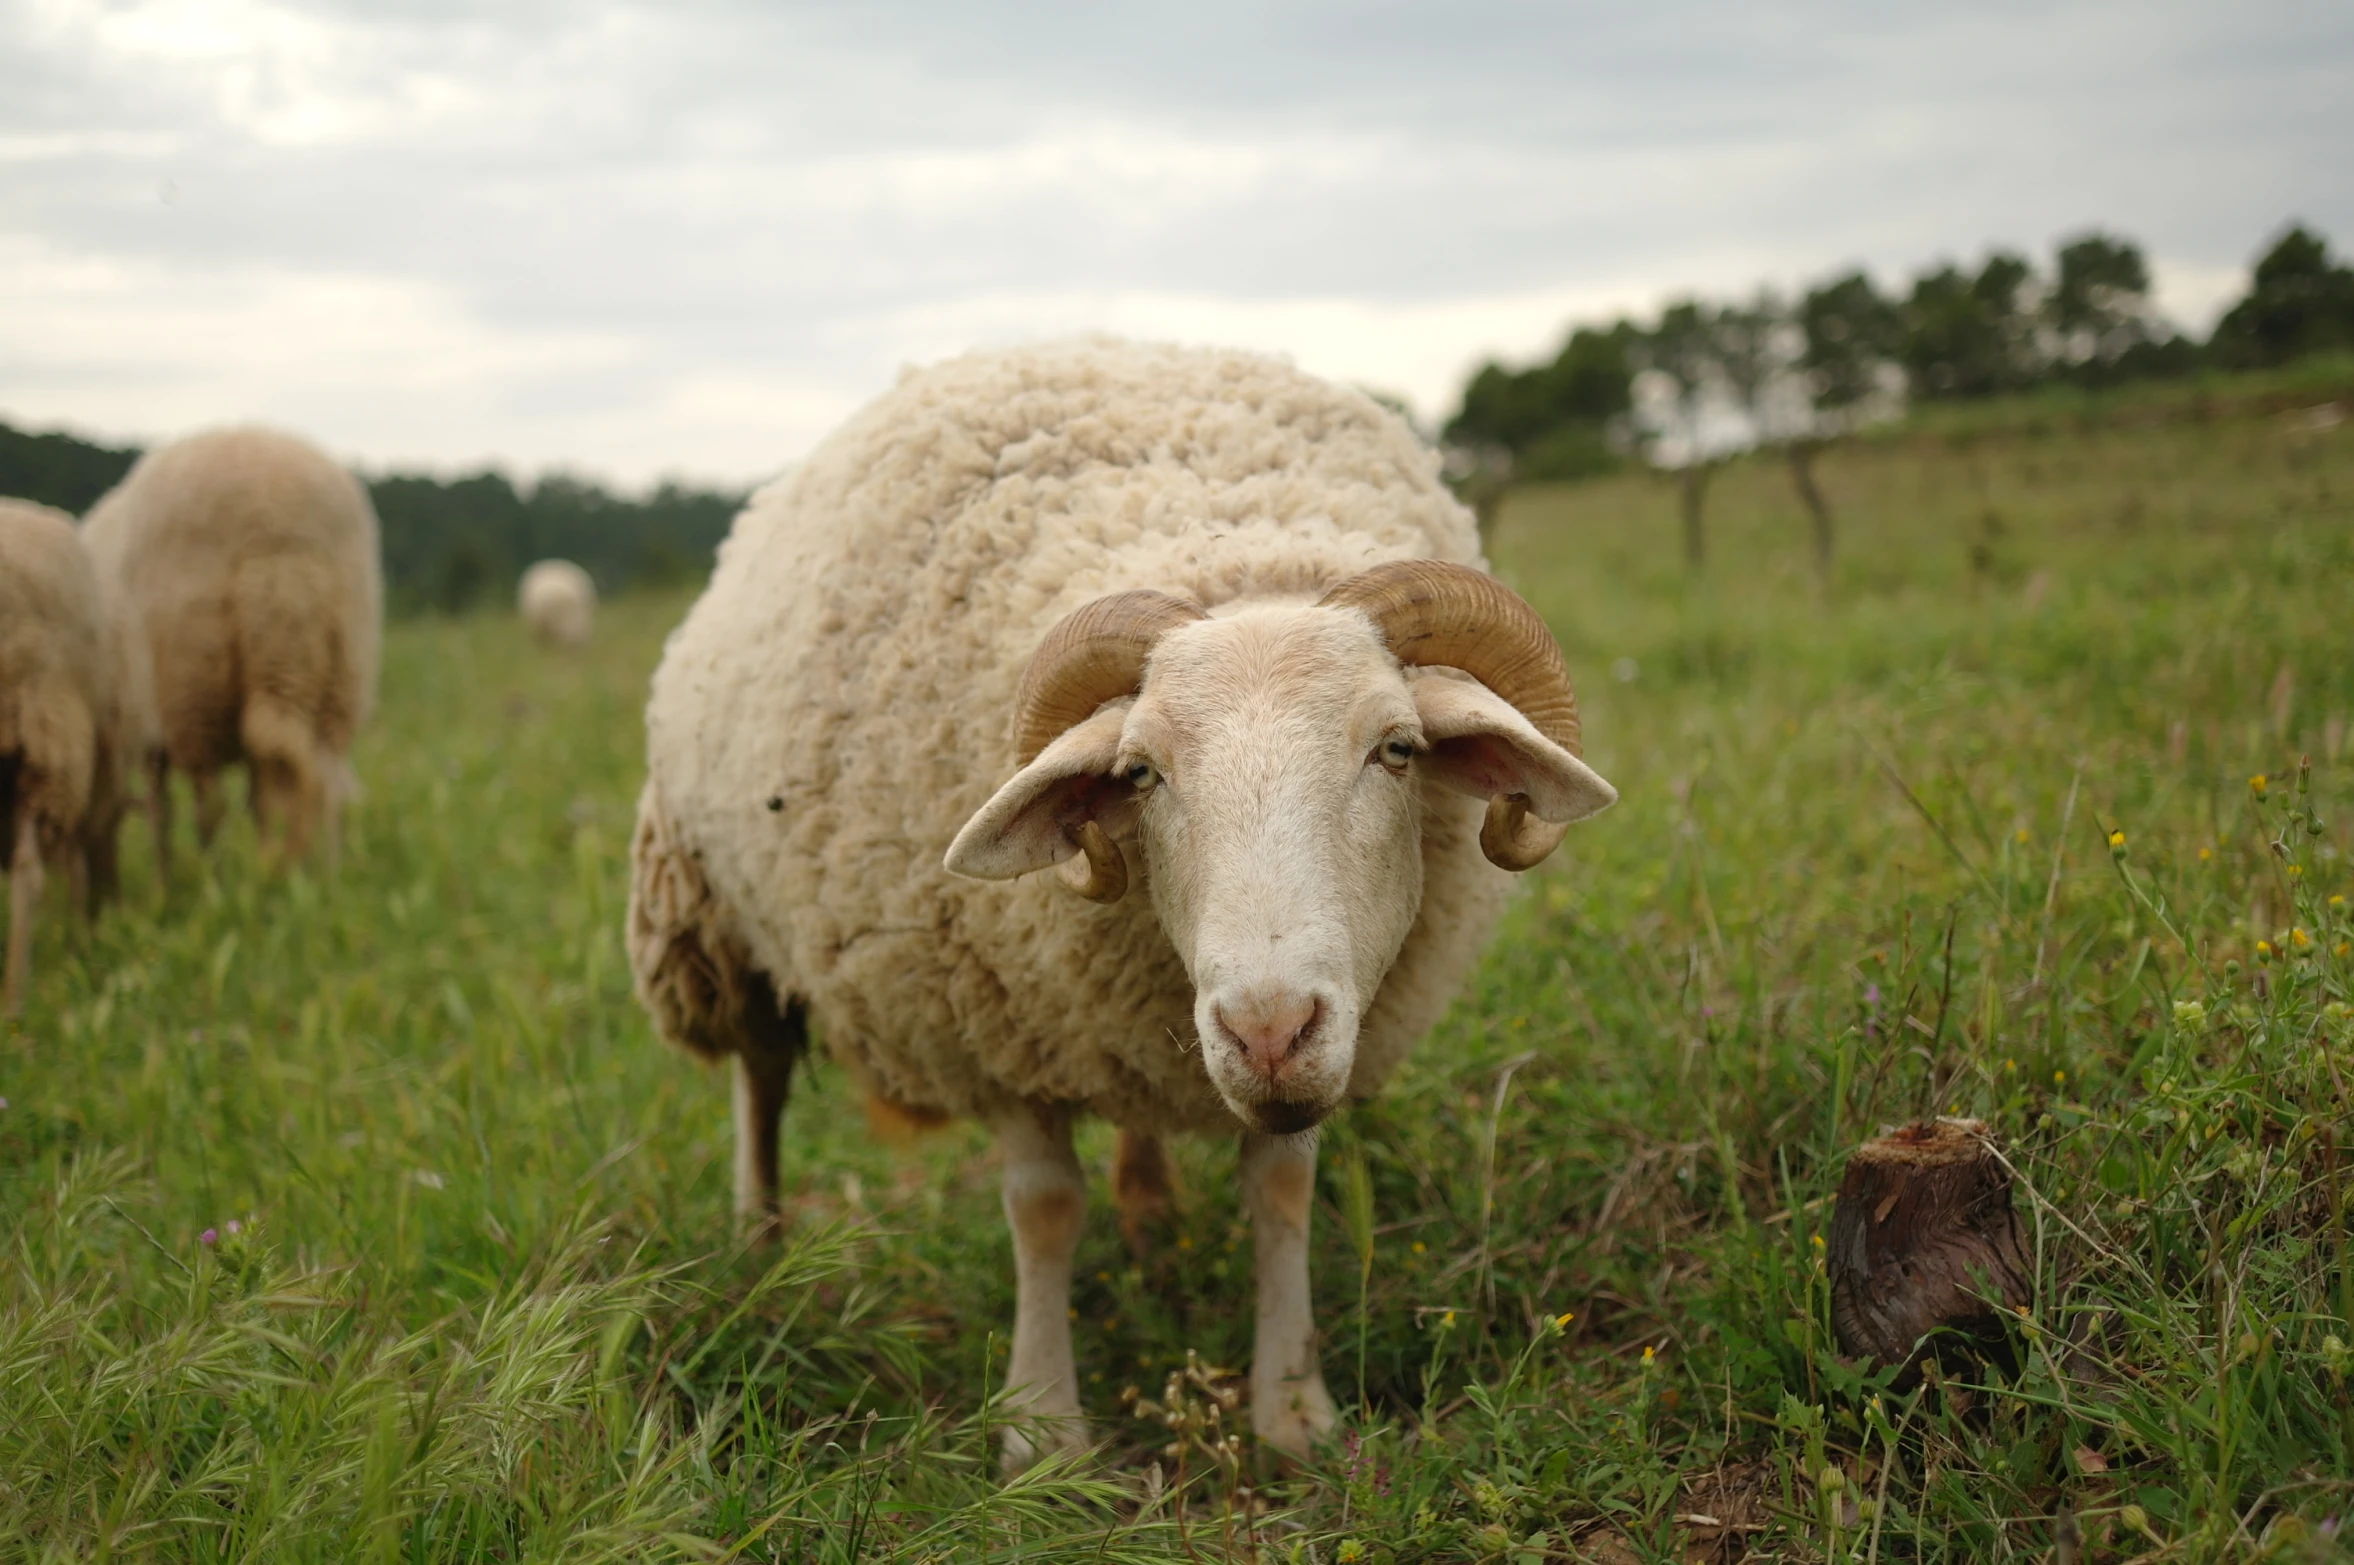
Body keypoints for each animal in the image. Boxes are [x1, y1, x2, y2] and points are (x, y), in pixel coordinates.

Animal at [81, 428, 381, 866]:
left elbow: (171, 810)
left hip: (192, 686)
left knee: (210, 804)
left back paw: (220, 871)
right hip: (338, 688)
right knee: (319, 791)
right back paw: (322, 873)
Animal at [626, 331, 1619, 1468]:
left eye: (1398, 748)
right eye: (1140, 772)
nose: (1265, 1029)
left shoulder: (1299, 1048)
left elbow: (1281, 1189)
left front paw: (1292, 1410)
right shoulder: (998, 1027)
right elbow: (1044, 1210)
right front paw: (1042, 1433)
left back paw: (1151, 1222)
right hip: (715, 916)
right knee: (760, 1079)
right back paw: (760, 1251)